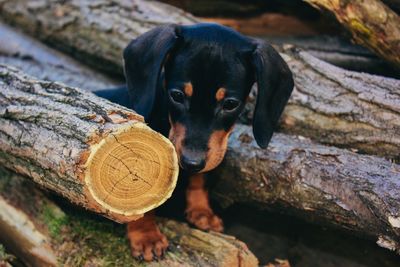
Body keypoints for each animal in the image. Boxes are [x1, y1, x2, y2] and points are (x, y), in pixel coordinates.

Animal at [97, 23, 294, 262]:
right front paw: (146, 236)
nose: (190, 162)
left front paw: (201, 211)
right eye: (177, 95)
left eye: (230, 104)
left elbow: (200, 179)